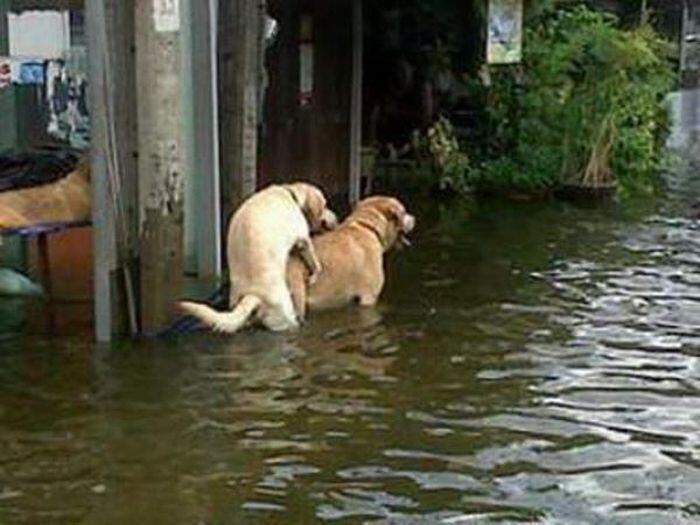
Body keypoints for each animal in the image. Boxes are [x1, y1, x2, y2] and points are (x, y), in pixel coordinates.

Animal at [179, 182, 334, 334]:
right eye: (325, 205)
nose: (335, 217)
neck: (290, 193)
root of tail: (253, 295)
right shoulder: (303, 239)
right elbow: (314, 260)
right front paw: (315, 273)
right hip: (286, 315)